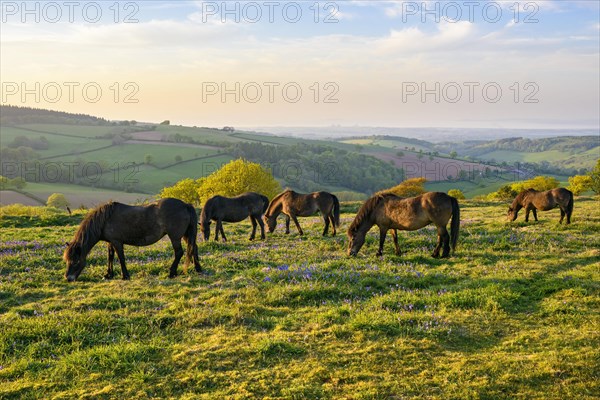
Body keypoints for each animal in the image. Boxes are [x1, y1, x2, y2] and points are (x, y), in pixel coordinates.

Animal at [63, 198, 200, 282]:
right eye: (67, 260)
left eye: (76, 261)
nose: (68, 278)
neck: (105, 219)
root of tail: (185, 205)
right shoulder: (110, 242)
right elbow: (110, 257)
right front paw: (108, 274)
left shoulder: (117, 242)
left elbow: (121, 258)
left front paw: (125, 276)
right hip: (186, 235)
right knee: (193, 248)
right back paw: (198, 269)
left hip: (175, 237)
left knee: (179, 252)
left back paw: (172, 273)